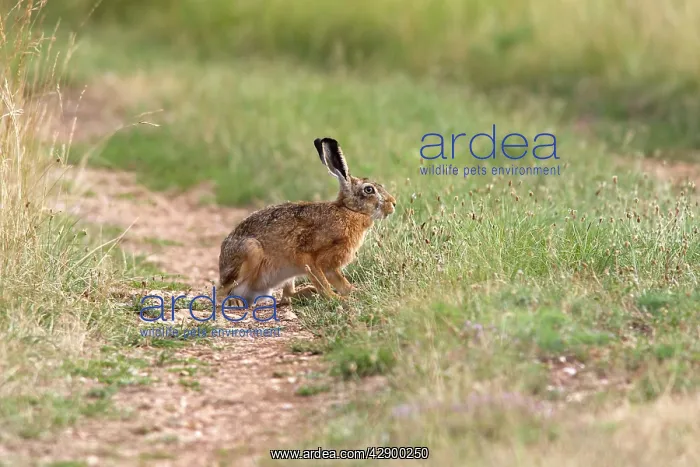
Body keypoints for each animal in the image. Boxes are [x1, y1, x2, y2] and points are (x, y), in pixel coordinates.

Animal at [217, 137, 396, 309]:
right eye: (369, 189)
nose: (393, 203)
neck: (349, 211)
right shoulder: (308, 257)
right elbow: (323, 283)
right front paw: (338, 299)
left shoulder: (330, 266)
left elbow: (340, 282)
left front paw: (357, 293)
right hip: (250, 251)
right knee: (221, 291)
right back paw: (234, 302)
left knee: (287, 296)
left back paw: (308, 293)